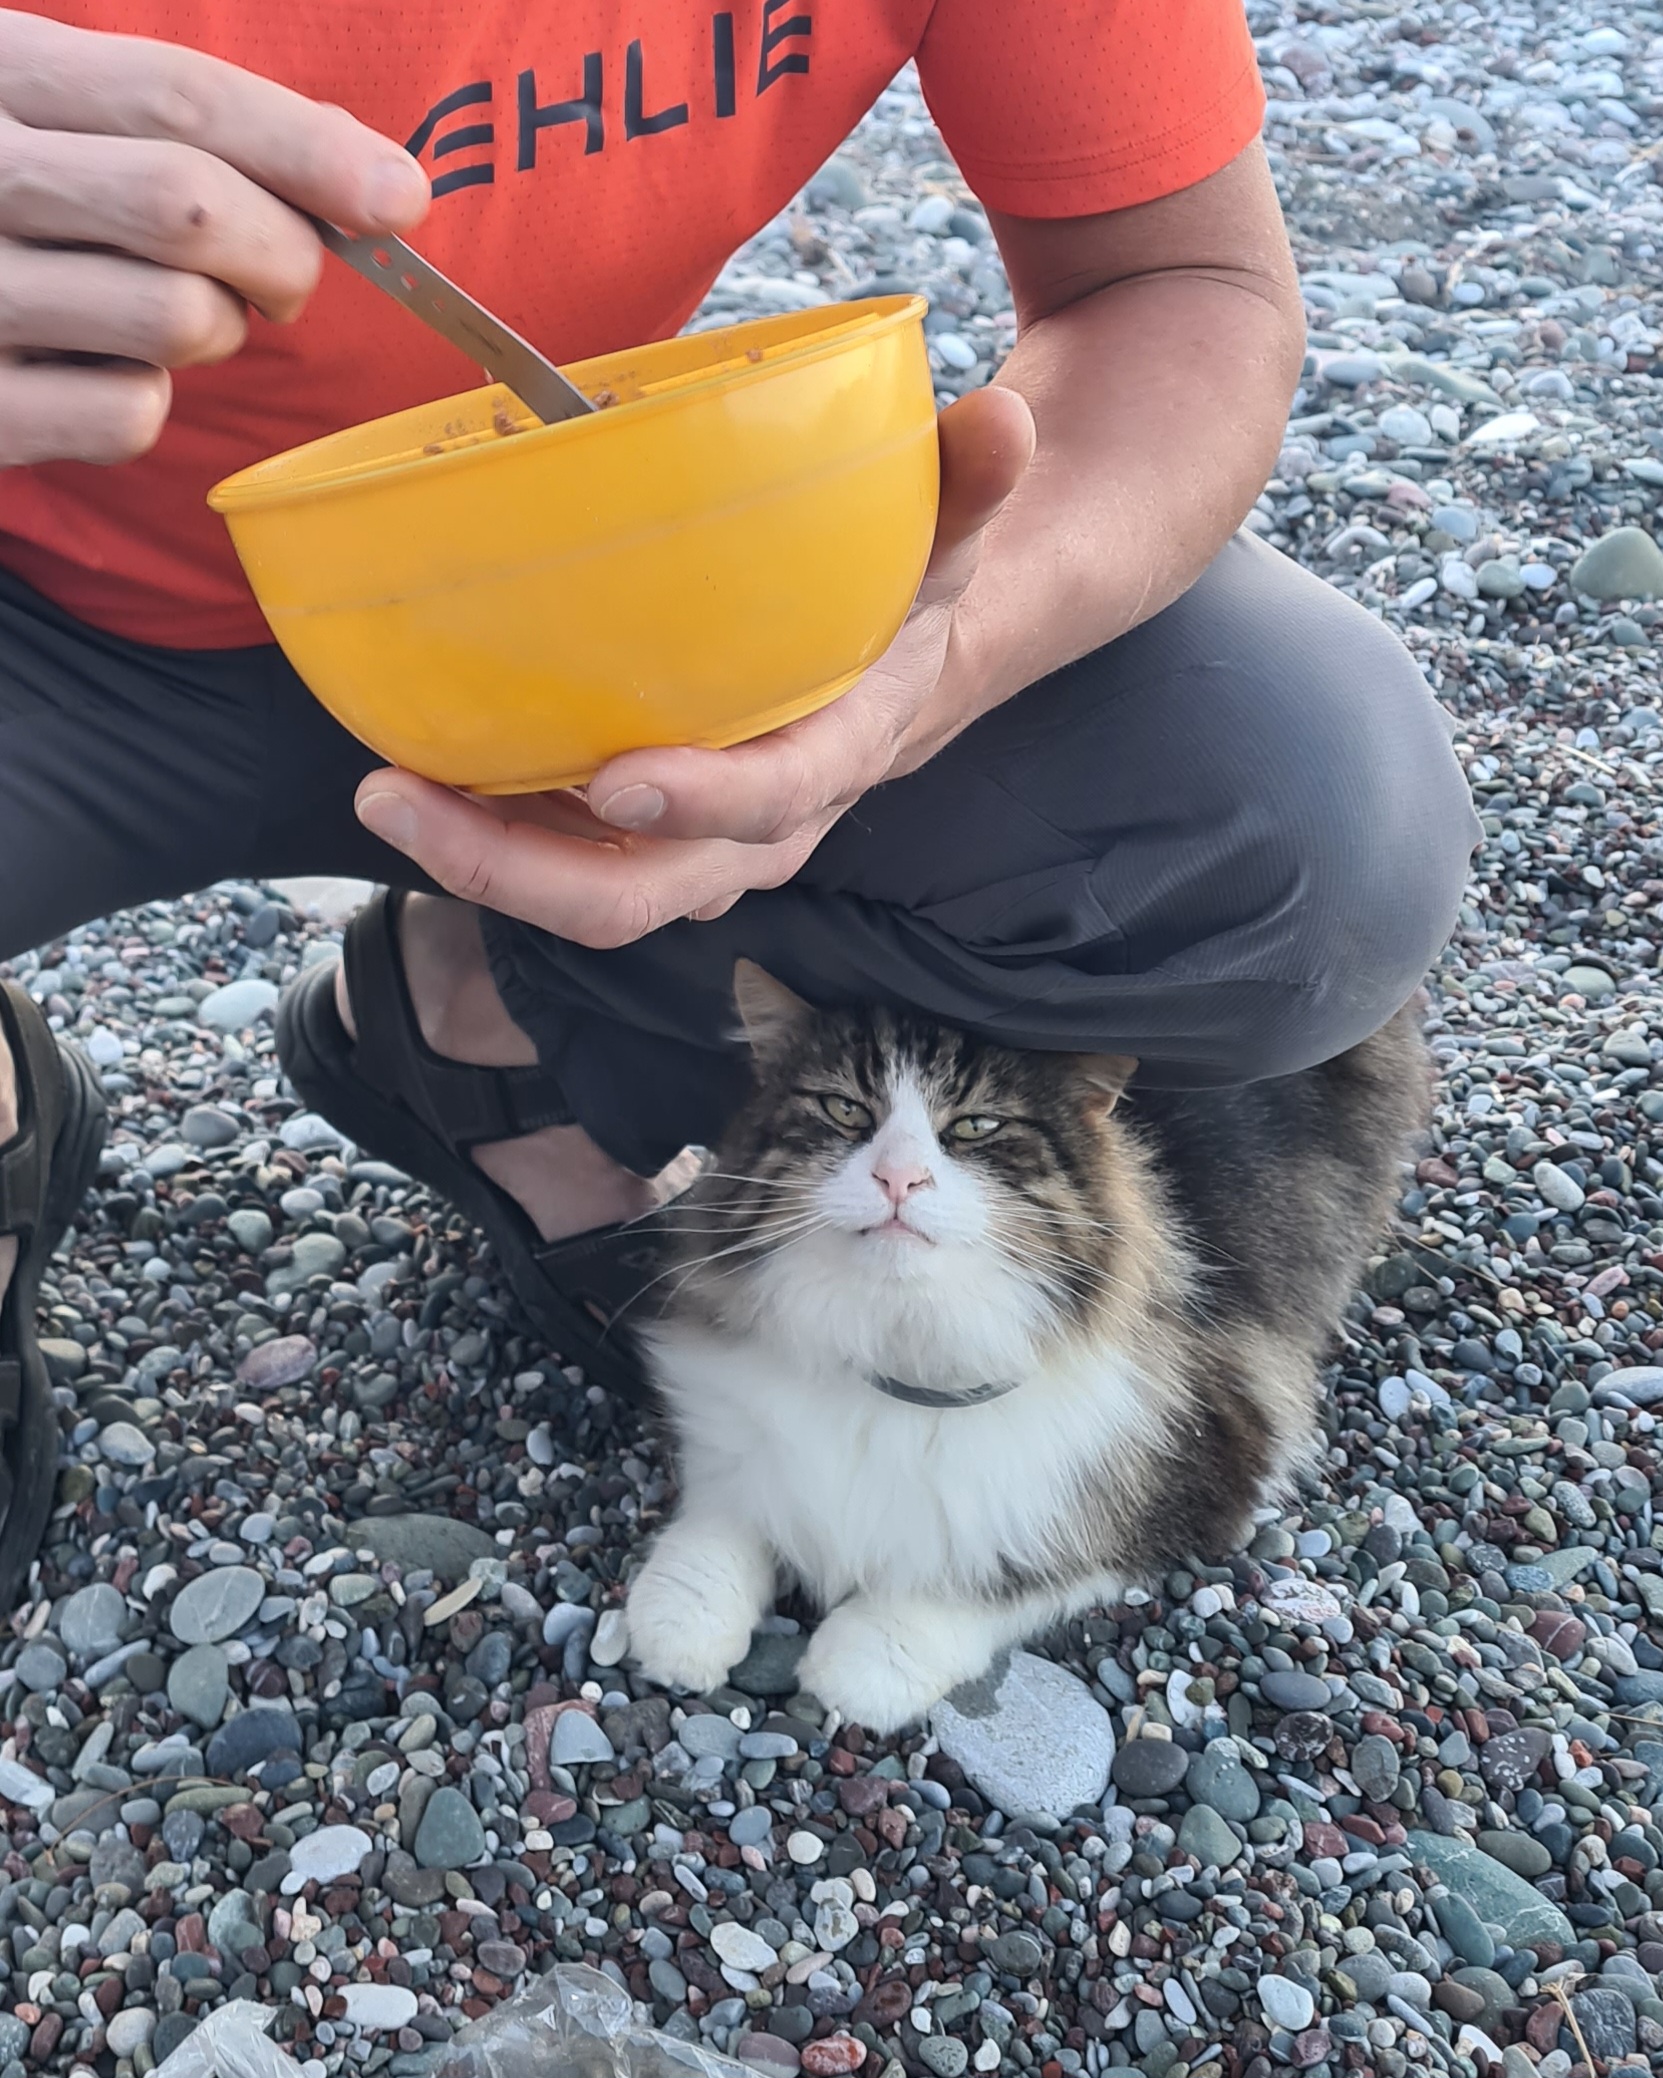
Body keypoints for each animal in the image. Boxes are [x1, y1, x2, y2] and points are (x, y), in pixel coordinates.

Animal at [624, 962, 1430, 1734]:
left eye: (976, 1125)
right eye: (844, 1109)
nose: (898, 1177)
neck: (900, 1345)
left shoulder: (1194, 1474)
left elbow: (993, 1577)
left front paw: (863, 1662)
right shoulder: (736, 1440)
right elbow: (726, 1516)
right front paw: (677, 1625)